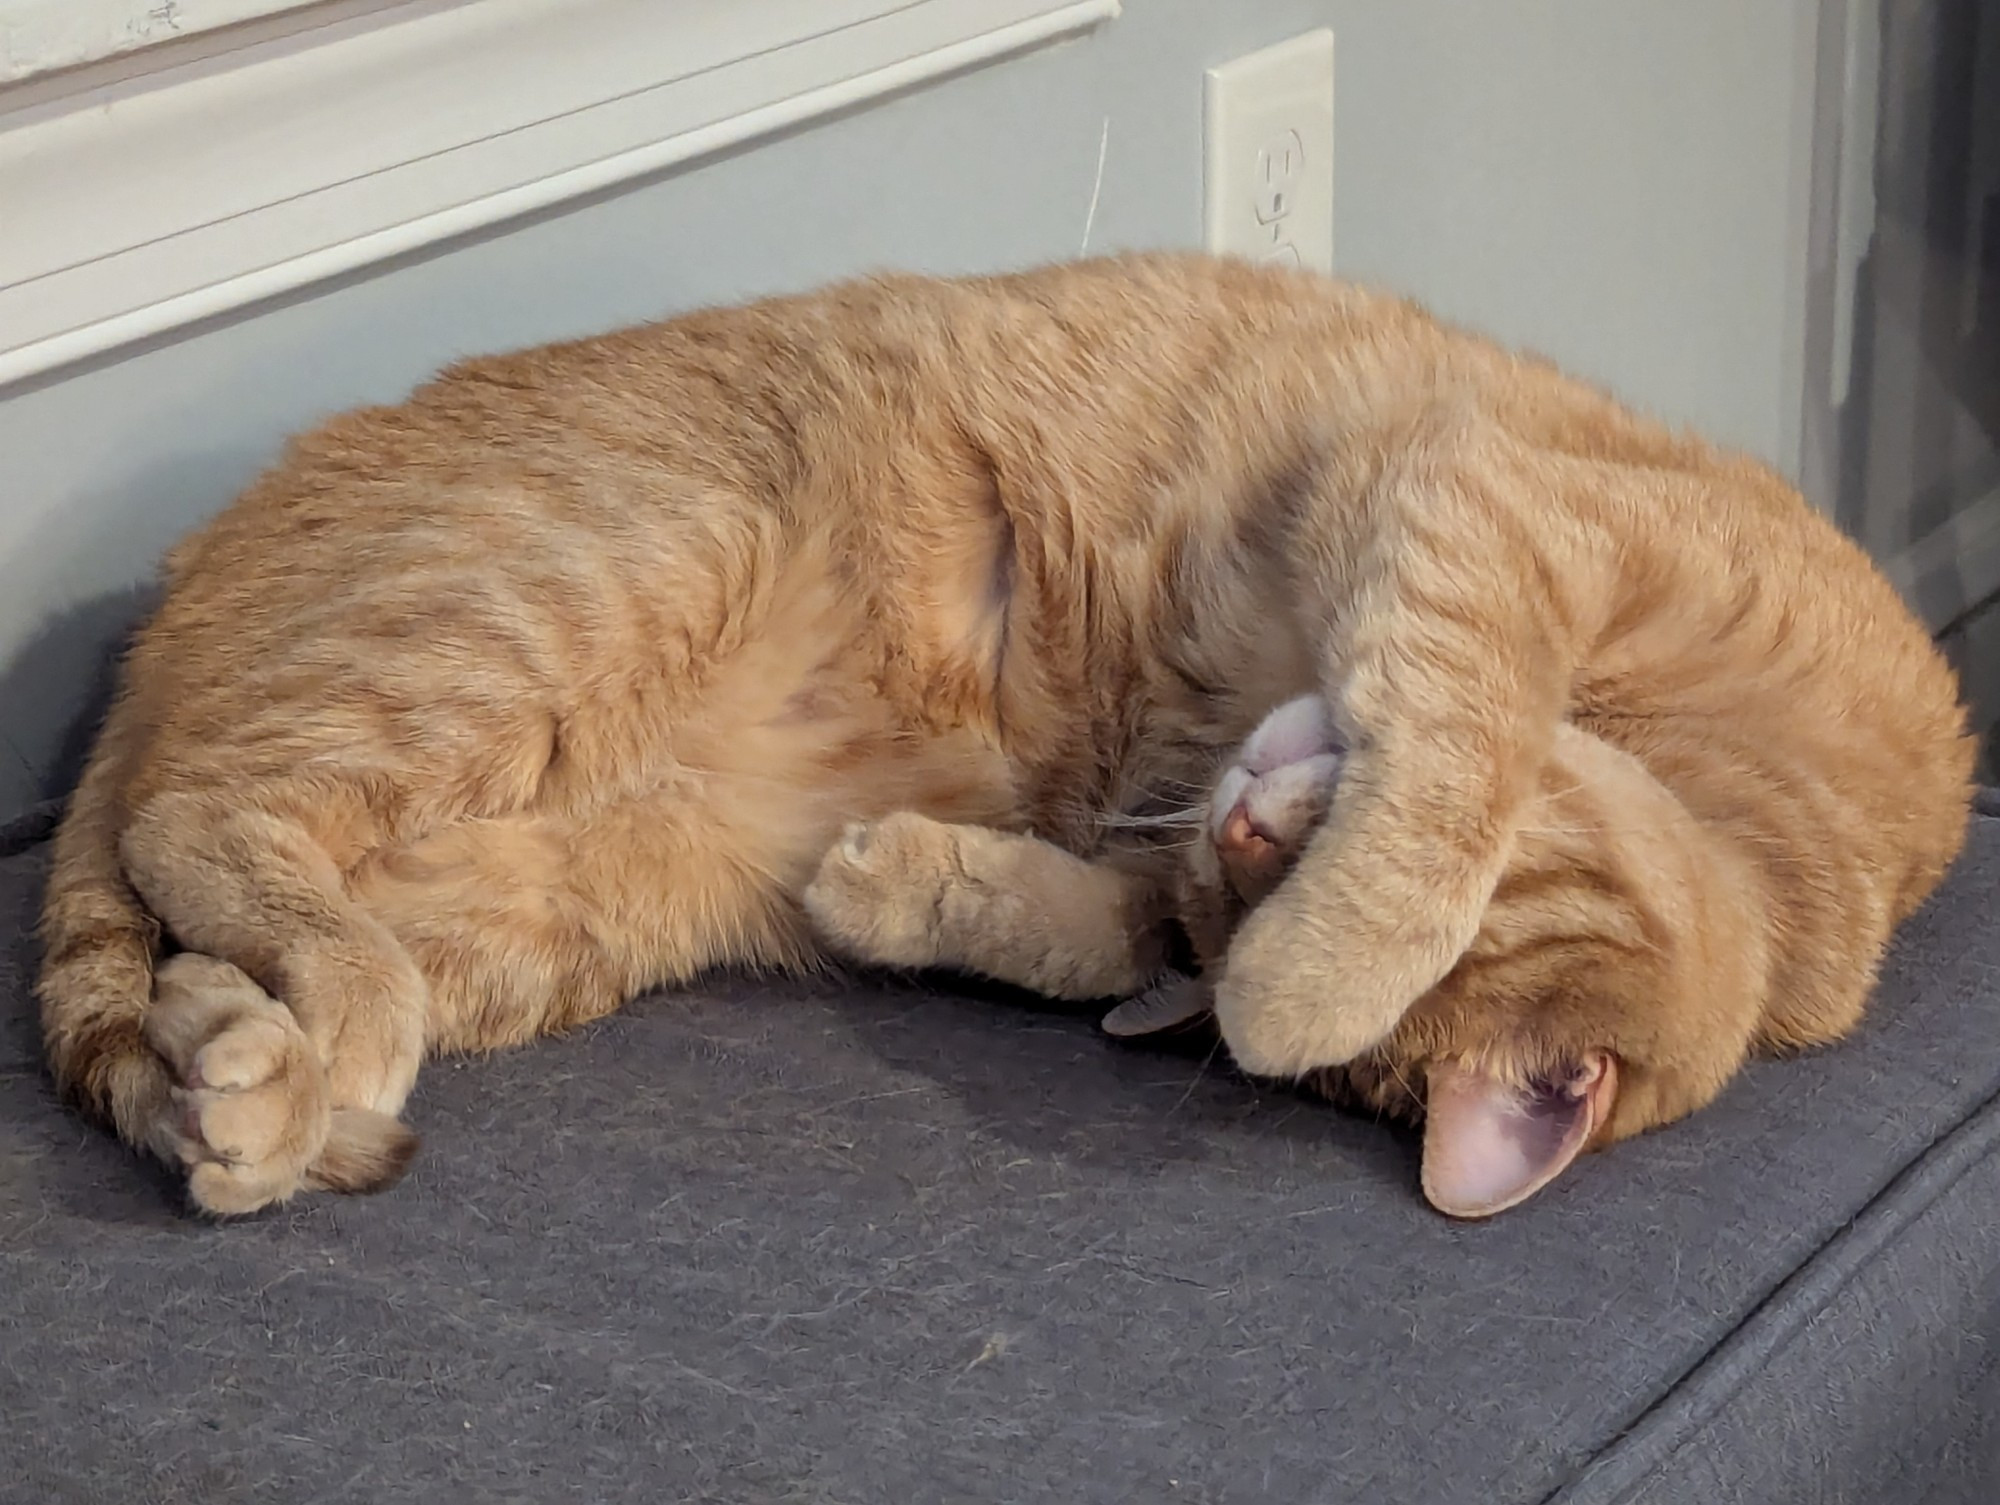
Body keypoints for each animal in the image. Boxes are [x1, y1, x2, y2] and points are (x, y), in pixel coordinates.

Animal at [31, 253, 1968, 1216]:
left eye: (1245, 889)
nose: (1249, 827)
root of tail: (161, 611)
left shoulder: (1159, 840)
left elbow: (1087, 928)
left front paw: (915, 890)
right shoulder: (1472, 511)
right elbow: (1448, 773)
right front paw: (1314, 977)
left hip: (570, 900)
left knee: (211, 938)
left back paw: (236, 1074)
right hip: (598, 581)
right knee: (198, 816)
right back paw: (310, 1027)